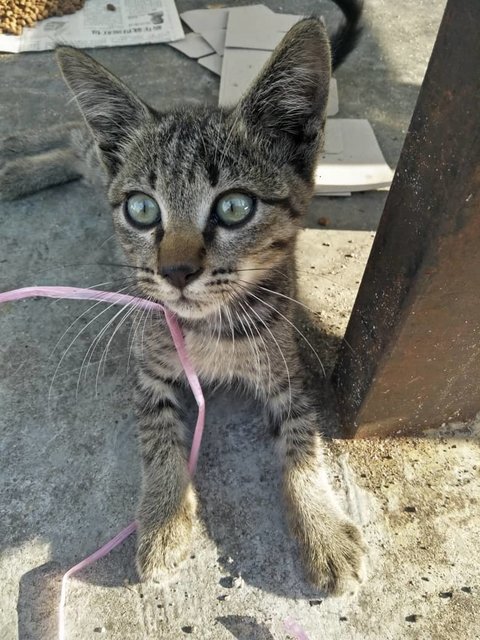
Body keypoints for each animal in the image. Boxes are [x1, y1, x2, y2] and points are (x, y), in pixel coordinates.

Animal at [0, 3, 368, 596]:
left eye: (236, 207)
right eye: (142, 209)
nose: (174, 271)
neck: (210, 328)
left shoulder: (288, 372)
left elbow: (303, 442)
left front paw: (324, 528)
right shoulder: (146, 365)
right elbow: (158, 439)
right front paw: (164, 518)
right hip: (98, 157)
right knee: (76, 136)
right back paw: (13, 162)